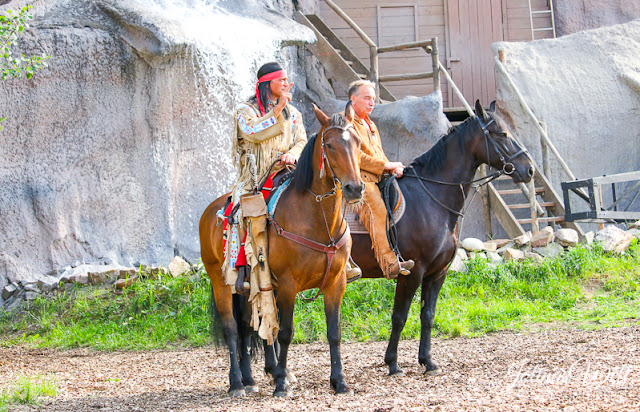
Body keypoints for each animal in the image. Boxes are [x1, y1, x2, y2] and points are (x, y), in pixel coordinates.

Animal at [199, 103, 364, 396]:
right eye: (331, 145)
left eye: (357, 142)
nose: (354, 188)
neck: (316, 219)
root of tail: (210, 212)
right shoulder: (288, 284)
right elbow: (286, 331)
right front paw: (281, 385)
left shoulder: (336, 282)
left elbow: (333, 332)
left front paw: (339, 381)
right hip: (220, 281)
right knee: (232, 329)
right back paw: (237, 382)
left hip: (253, 285)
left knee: (249, 326)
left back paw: (254, 377)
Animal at [350, 100, 536, 376]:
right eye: (502, 133)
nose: (529, 169)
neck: (431, 198)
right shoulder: (413, 272)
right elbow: (399, 316)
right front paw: (392, 363)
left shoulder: (437, 272)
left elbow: (427, 315)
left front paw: (427, 361)